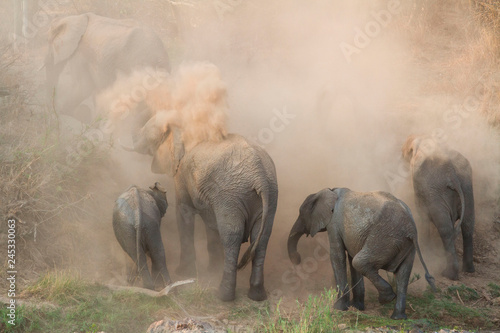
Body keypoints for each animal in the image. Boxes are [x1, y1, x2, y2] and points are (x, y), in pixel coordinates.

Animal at [121, 111, 278, 300]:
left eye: (147, 135)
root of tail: (259, 176)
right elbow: (211, 225)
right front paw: (211, 269)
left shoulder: (181, 173)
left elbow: (183, 213)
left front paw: (184, 272)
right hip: (269, 195)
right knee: (262, 237)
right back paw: (257, 295)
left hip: (231, 196)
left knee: (232, 235)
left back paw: (223, 295)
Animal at [288, 187, 436, 320]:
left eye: (301, 213)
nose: (298, 259)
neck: (329, 190)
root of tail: (411, 228)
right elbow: (350, 257)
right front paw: (357, 307)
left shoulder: (334, 224)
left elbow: (338, 256)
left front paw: (338, 308)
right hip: (407, 246)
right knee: (402, 276)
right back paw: (398, 317)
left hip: (384, 238)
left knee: (360, 262)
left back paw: (386, 299)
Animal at [402, 135, 476, 280]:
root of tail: (452, 174)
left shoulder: (420, 184)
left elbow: (422, 212)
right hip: (467, 189)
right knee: (468, 225)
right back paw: (469, 270)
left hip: (437, 194)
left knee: (445, 229)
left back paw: (449, 274)